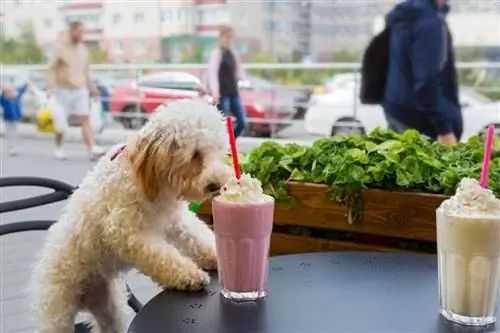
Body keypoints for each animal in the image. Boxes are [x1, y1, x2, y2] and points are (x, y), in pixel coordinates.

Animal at [32, 99, 231, 332]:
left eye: (219, 151)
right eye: (195, 155)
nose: (216, 185)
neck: (148, 180)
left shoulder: (176, 219)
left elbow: (197, 237)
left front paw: (217, 256)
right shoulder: (126, 231)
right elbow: (163, 256)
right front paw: (189, 276)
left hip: (110, 309)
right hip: (58, 313)